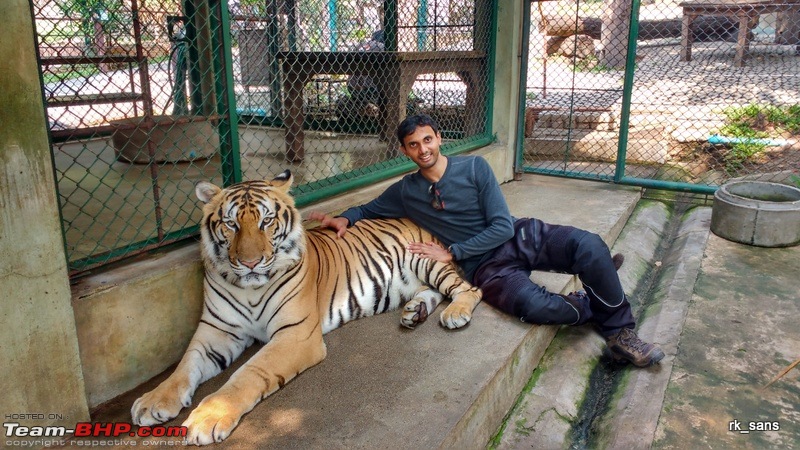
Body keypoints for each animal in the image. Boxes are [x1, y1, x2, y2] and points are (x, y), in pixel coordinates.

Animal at [130, 171, 482, 444]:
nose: (250, 263)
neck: (249, 289)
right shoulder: (217, 331)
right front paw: (153, 401)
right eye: (231, 224)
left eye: (266, 221)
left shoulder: (295, 334)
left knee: (468, 289)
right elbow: (184, 366)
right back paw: (414, 312)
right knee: (430, 292)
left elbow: (249, 372)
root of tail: (415, 218)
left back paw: (455, 313)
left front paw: (208, 418)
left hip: (425, 260)